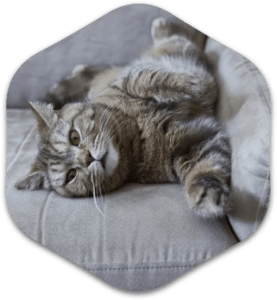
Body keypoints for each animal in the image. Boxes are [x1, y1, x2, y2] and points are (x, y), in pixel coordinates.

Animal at [15, 18, 231, 218]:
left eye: (74, 137)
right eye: (71, 175)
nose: (88, 158)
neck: (134, 134)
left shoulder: (126, 83)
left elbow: (149, 78)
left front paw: (192, 85)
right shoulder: (190, 146)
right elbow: (206, 169)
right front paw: (206, 197)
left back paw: (160, 27)